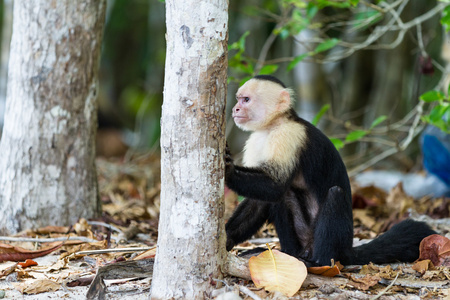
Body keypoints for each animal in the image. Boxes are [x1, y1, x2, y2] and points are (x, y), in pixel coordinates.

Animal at [225, 75, 436, 268]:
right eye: (238, 99)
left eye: (246, 100)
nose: (235, 109)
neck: (273, 126)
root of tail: (348, 250)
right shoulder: (255, 141)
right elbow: (260, 199)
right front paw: (227, 236)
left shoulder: (289, 135)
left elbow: (275, 186)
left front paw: (229, 172)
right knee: (279, 200)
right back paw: (288, 253)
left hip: (335, 240)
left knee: (332, 194)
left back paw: (320, 263)